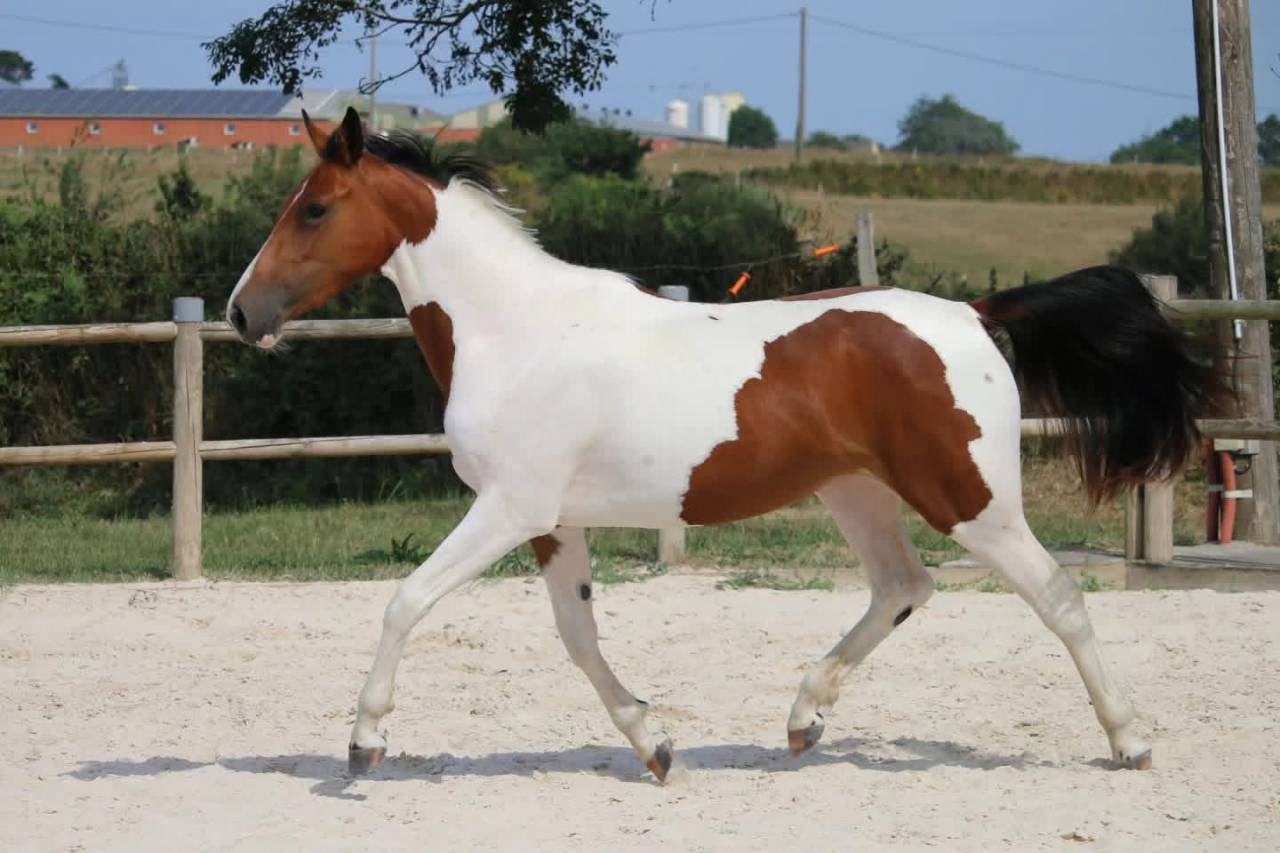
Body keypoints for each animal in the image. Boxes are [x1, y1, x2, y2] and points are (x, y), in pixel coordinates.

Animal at [226, 107, 1218, 781]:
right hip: (856, 490)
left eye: (315, 209)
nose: (242, 312)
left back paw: (1130, 739)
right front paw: (654, 741)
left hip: (969, 499)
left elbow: (405, 601)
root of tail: (973, 313)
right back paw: (804, 718)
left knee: (1057, 596)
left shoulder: (507, 508)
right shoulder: (551, 521)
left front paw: (363, 741)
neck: (515, 330)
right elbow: (578, 635)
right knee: (903, 586)